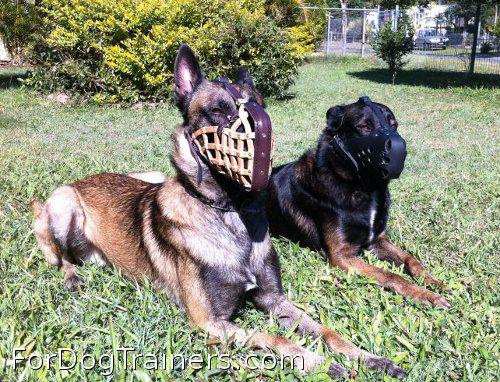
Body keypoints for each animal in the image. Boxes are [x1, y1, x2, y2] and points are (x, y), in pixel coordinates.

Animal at [32, 44, 406, 380]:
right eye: (217, 110)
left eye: (260, 107)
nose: (262, 136)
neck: (229, 212)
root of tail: (83, 180)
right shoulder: (209, 322)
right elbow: (275, 338)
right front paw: (320, 363)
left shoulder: (274, 299)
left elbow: (324, 330)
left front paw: (369, 358)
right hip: (64, 204)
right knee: (59, 257)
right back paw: (72, 276)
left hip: (148, 178)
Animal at [268, 97, 452, 308]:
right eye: (364, 126)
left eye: (394, 125)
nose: (397, 148)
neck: (363, 188)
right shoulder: (341, 256)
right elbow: (390, 275)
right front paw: (424, 294)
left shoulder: (377, 241)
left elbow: (410, 259)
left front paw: (433, 282)